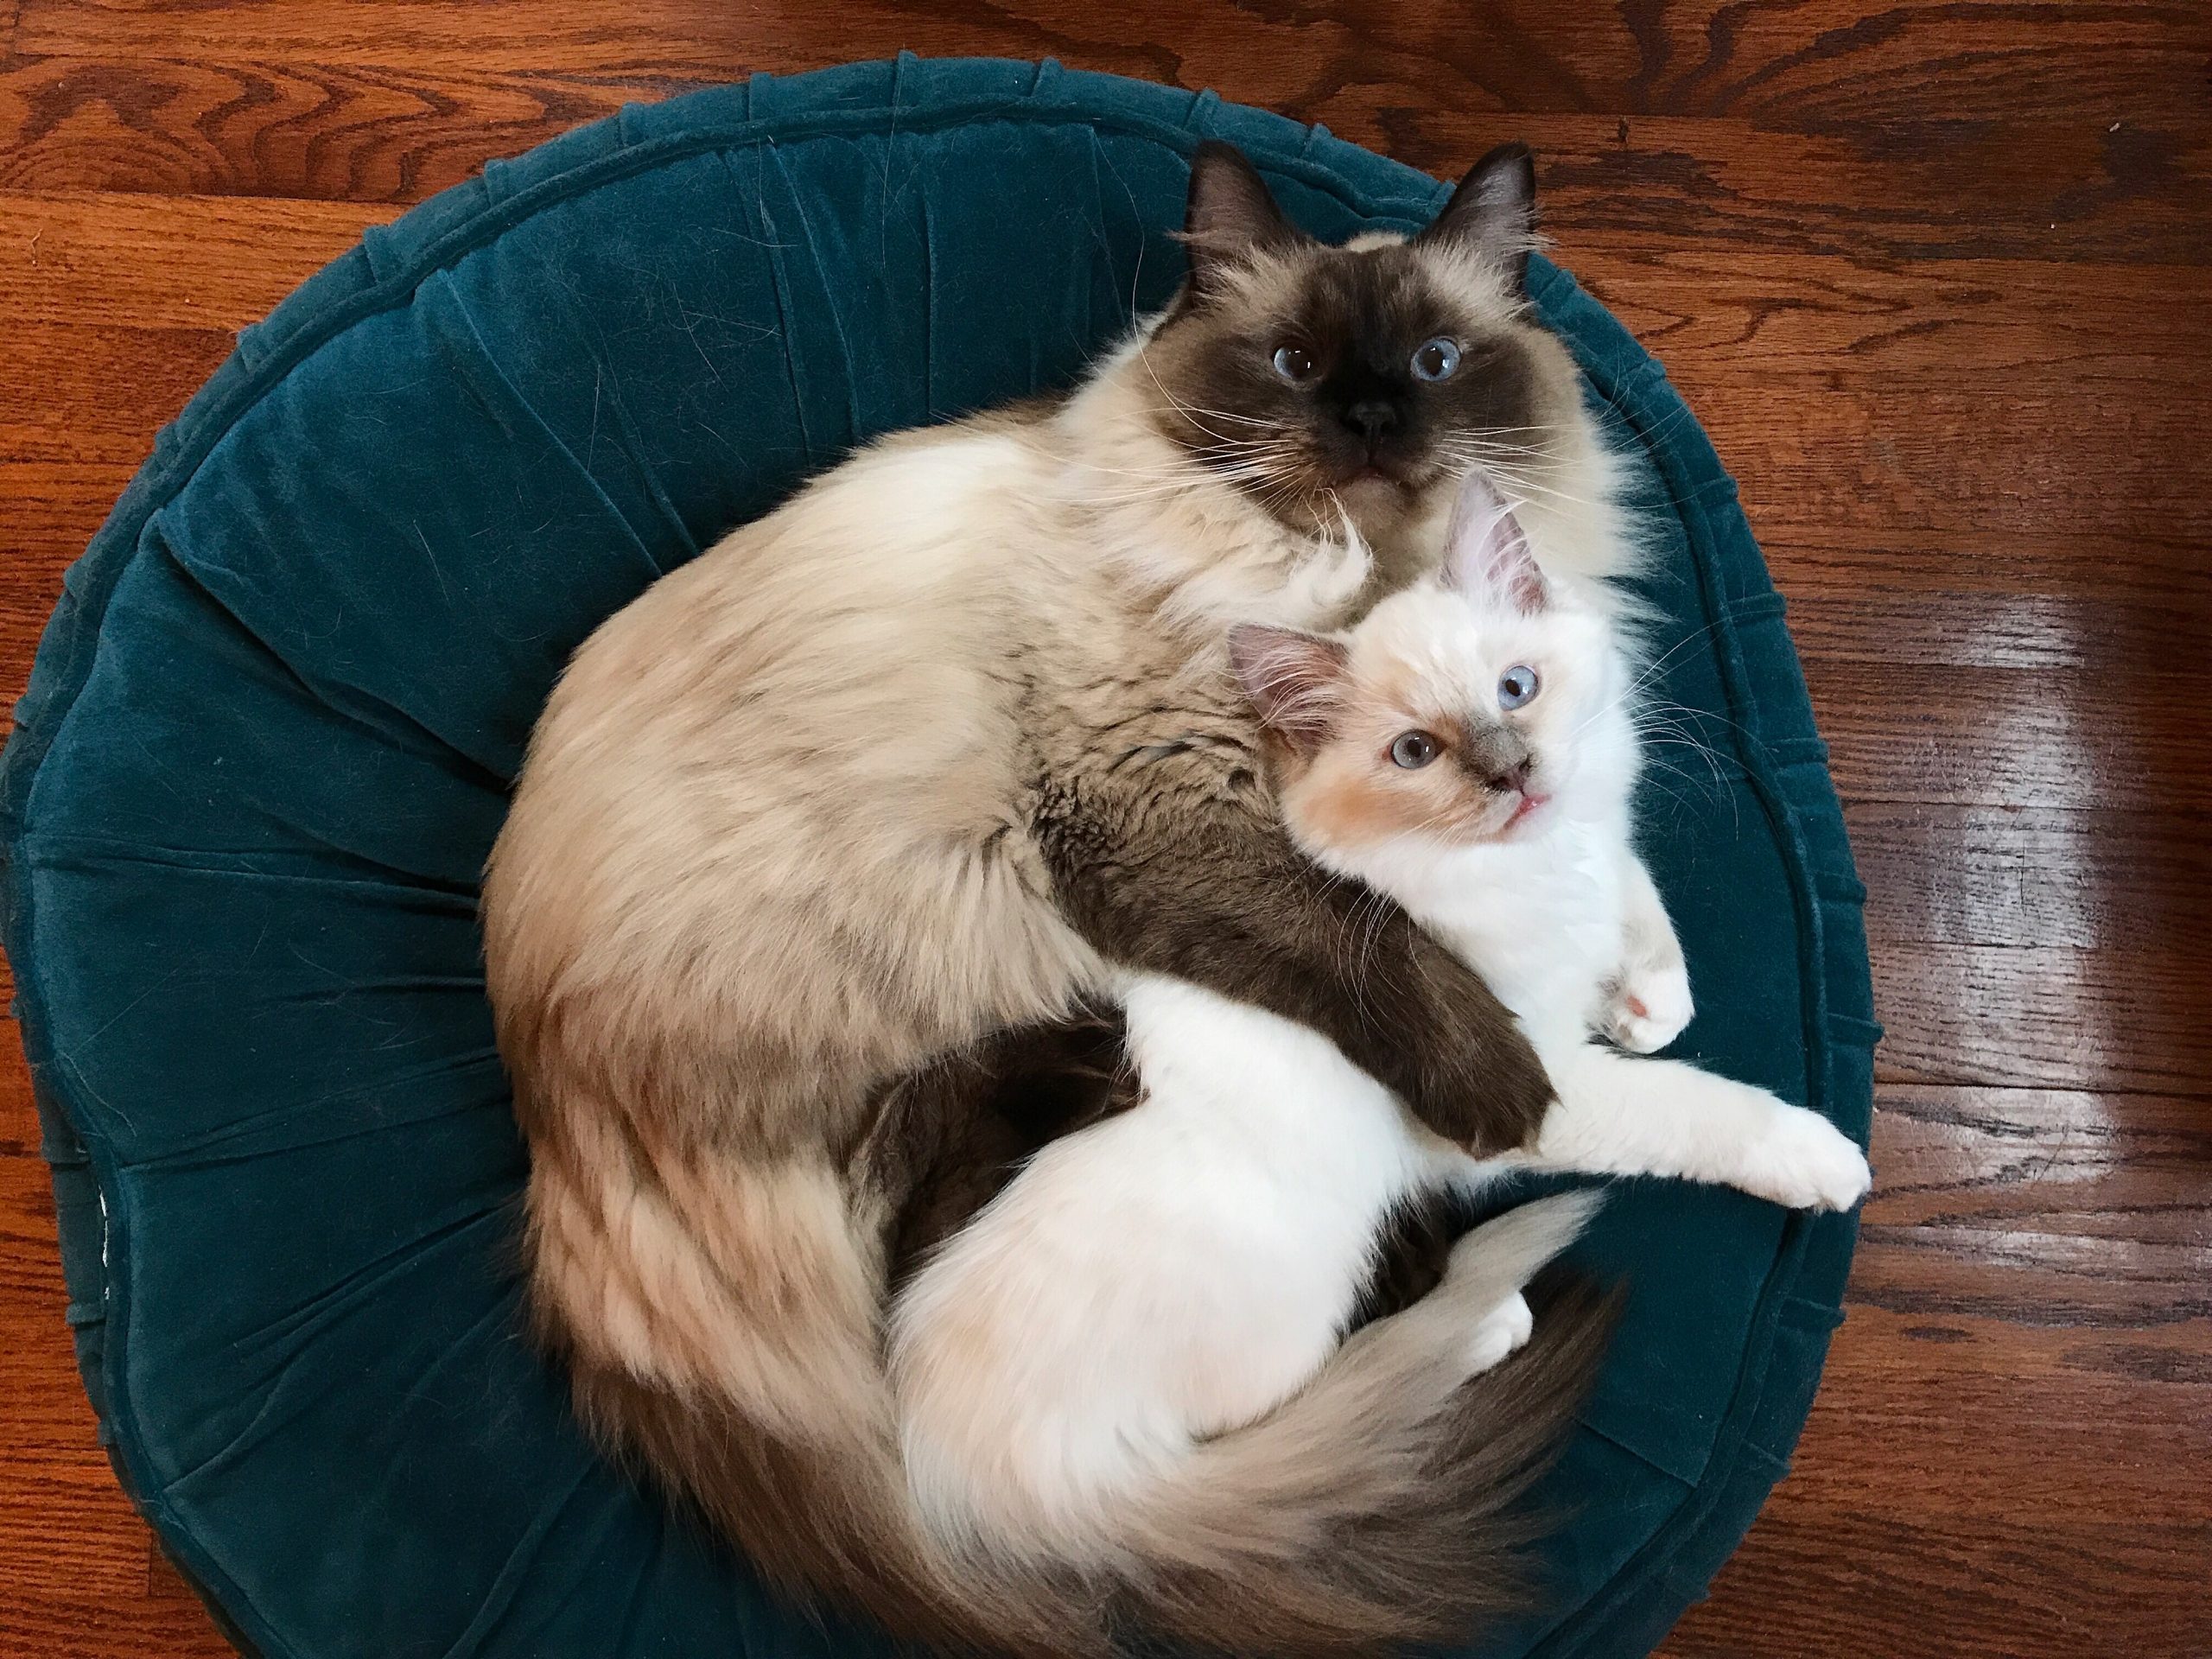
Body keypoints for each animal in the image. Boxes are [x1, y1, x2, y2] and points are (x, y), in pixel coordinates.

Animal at [480, 143, 1628, 1659]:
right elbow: (1378, 947)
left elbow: (1611, 867)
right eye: (1293, 364)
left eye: (1436, 362)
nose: (1375, 420)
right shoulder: (1160, 821)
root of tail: (557, 1145)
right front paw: (1515, 1092)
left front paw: (1649, 989)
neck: (1349, 579)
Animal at [889, 473, 1875, 1654]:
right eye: (1416, 754)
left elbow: (1633, 890)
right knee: (1296, 1400)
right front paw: (1816, 1156)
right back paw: (1482, 1323)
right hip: (1298, 1275)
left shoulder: (1596, 845)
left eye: (1516, 689)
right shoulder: (1531, 1083)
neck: (1527, 871)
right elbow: (1692, 1107)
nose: (1512, 773)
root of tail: (961, 1479)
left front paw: (1648, 994)